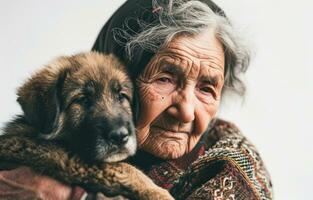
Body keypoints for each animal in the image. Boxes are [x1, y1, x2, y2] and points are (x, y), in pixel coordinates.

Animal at [0, 52, 173, 200]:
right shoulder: (63, 157)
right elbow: (126, 169)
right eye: (83, 99)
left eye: (121, 96)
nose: (119, 136)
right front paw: (160, 194)